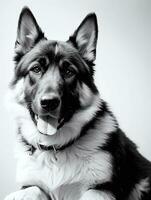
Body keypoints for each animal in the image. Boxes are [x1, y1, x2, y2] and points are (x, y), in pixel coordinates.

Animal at [4, 6, 151, 200]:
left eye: (69, 72)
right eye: (36, 69)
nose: (49, 103)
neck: (55, 149)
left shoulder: (102, 190)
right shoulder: (31, 184)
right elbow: (30, 190)